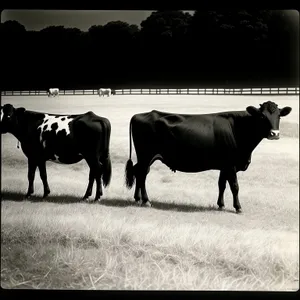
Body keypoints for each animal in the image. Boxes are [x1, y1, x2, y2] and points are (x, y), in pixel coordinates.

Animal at [125, 101, 292, 213]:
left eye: (279, 116)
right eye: (262, 116)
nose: (274, 134)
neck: (238, 128)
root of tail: (140, 115)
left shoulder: (225, 166)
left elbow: (221, 185)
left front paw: (221, 205)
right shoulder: (231, 165)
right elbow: (235, 186)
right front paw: (238, 207)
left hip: (145, 158)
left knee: (138, 173)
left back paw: (137, 199)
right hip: (146, 156)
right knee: (142, 175)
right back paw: (146, 201)